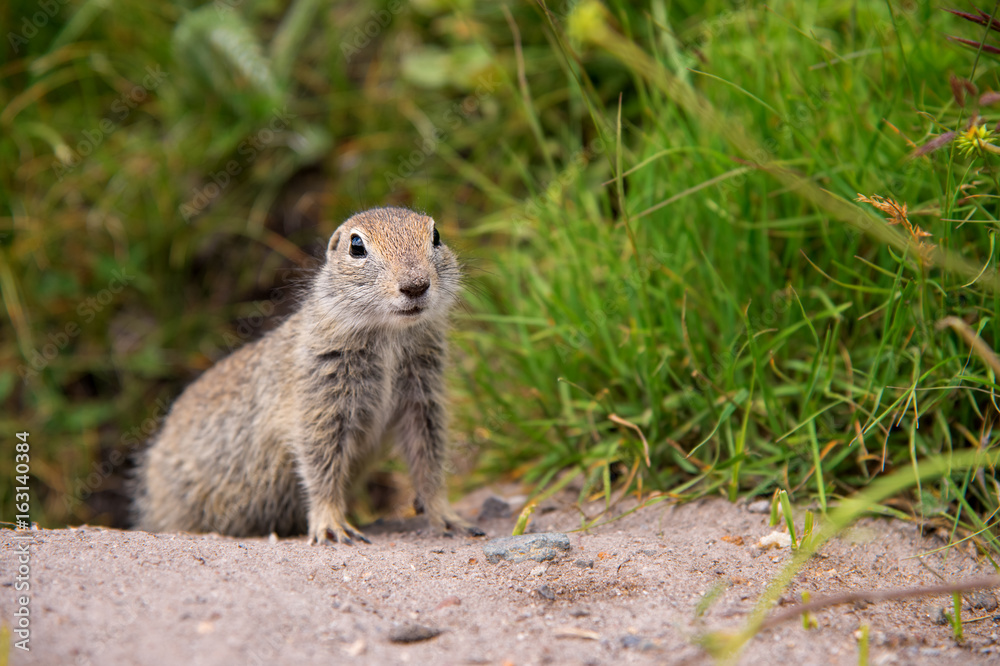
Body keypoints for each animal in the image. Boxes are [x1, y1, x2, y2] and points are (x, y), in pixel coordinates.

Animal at [131, 207, 485, 544]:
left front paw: (448, 517)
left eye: (436, 236)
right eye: (357, 246)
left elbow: (429, 462)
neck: (390, 338)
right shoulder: (319, 405)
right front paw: (331, 525)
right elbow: (321, 467)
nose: (416, 285)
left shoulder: (423, 400)